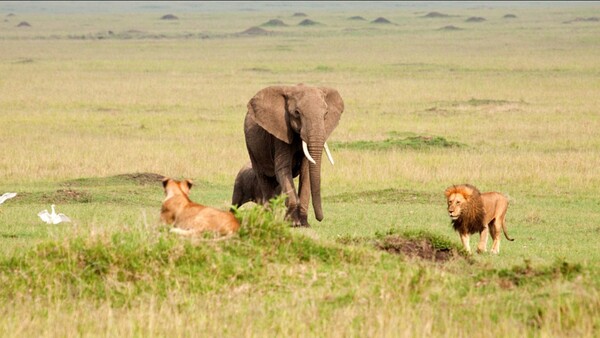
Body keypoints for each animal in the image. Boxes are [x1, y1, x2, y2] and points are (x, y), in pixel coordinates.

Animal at [244, 84, 344, 227]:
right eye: (297, 113)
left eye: (325, 114)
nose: (320, 218)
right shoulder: (281, 132)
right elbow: (282, 169)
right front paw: (292, 223)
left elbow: (306, 171)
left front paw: (304, 224)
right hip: (252, 149)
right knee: (264, 179)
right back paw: (269, 220)